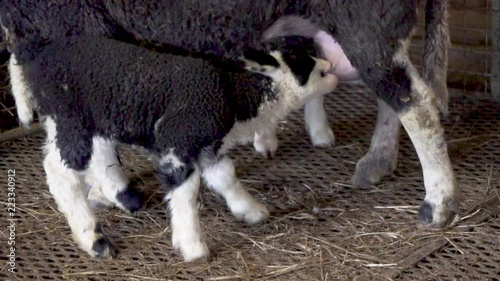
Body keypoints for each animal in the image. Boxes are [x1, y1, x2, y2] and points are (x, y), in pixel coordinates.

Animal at [26, 35, 340, 260]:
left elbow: (225, 175)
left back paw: (119, 198)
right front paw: (193, 246)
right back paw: (93, 238)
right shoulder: (180, 143)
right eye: (302, 63)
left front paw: (250, 210)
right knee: (61, 173)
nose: (330, 68)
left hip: (84, 120)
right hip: (70, 117)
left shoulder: (207, 145)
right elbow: (187, 194)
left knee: (91, 156)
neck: (237, 94)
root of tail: (41, 59)